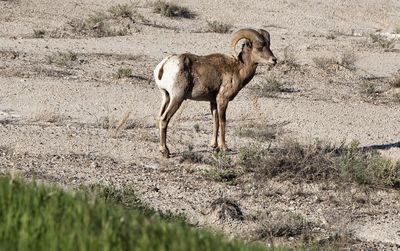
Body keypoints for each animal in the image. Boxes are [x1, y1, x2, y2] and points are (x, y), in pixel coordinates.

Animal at [155, 28, 276, 157]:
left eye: (268, 45)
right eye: (259, 47)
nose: (274, 60)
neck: (238, 68)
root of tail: (164, 65)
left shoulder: (213, 102)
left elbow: (215, 121)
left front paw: (214, 146)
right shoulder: (222, 100)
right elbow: (223, 121)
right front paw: (224, 147)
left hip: (166, 97)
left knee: (159, 117)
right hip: (177, 98)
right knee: (164, 119)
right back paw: (165, 151)